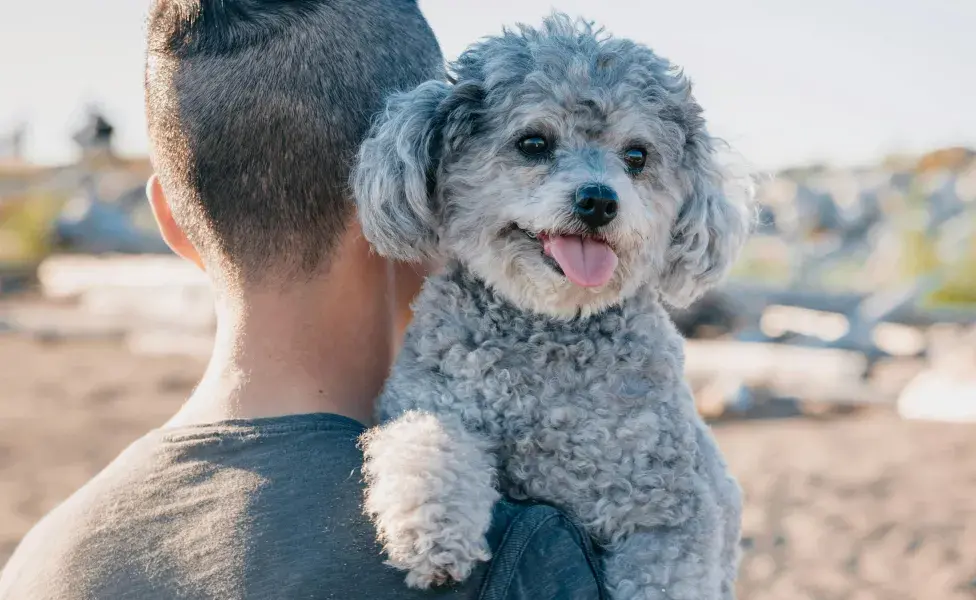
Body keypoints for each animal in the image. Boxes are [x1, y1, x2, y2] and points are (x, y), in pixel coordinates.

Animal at [352, 14, 756, 600]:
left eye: (637, 156)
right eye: (533, 142)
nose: (598, 199)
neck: (553, 328)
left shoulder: (671, 506)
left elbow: (666, 569)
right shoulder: (429, 396)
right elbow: (426, 443)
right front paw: (433, 535)